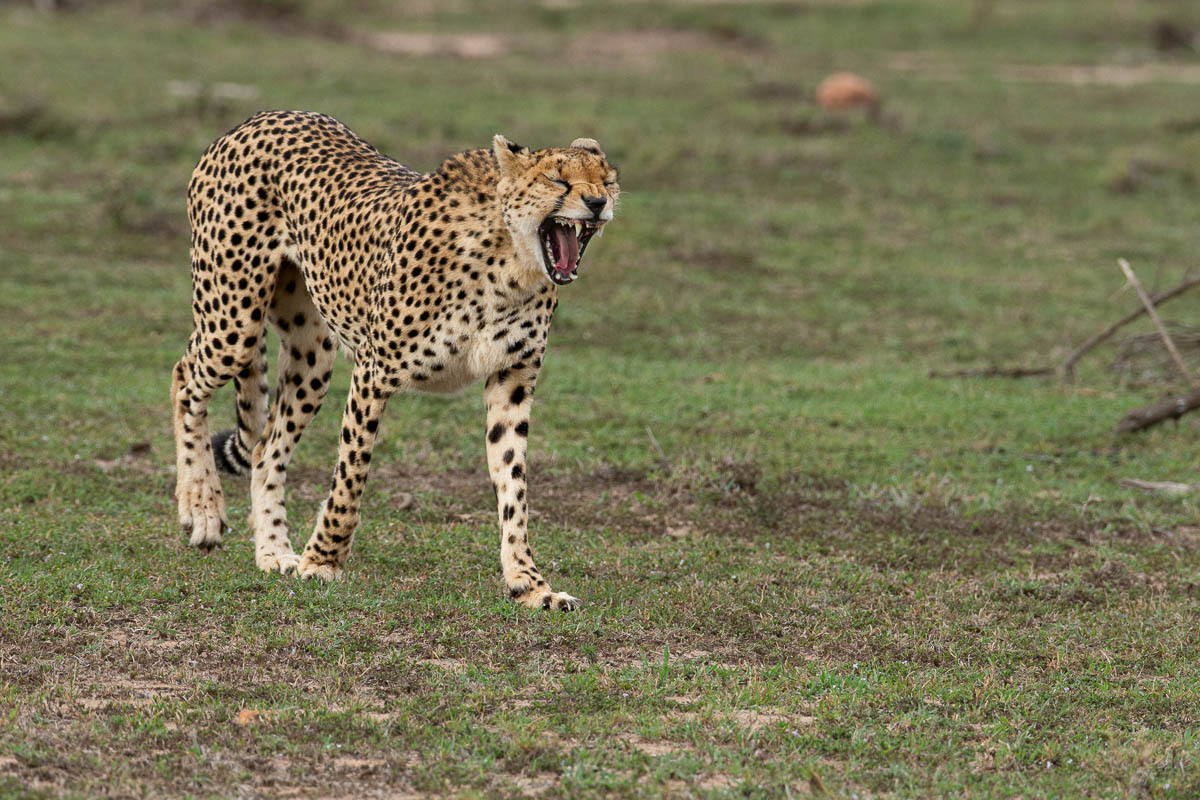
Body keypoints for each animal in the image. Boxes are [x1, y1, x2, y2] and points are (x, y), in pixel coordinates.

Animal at [171, 110, 619, 611]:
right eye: (558, 179)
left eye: (607, 179)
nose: (598, 203)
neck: (511, 264)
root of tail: (261, 118)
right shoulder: (373, 372)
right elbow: (350, 476)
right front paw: (322, 561)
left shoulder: (512, 379)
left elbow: (513, 486)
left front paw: (530, 583)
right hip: (234, 322)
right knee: (184, 377)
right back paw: (201, 508)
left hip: (312, 354)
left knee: (266, 447)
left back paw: (273, 552)